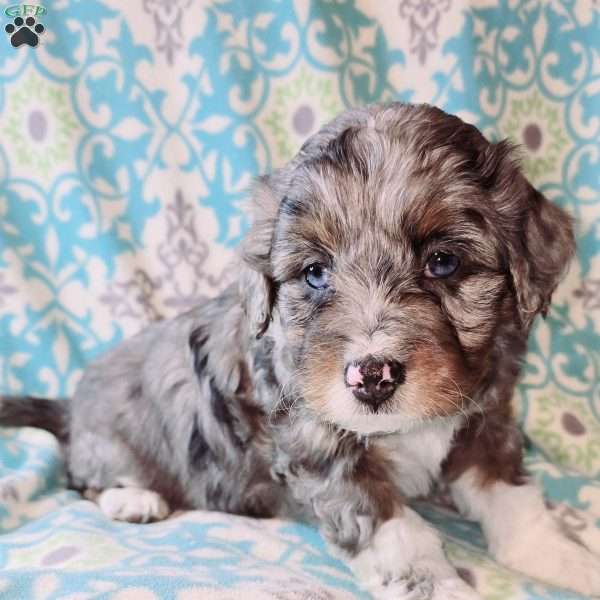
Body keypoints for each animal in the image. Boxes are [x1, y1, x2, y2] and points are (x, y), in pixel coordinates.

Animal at [2, 104, 596, 600]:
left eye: (443, 262)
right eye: (314, 273)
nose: (371, 376)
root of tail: (70, 410)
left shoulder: (486, 423)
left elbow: (514, 500)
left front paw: (563, 558)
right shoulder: (321, 451)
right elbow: (401, 540)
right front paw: (443, 587)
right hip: (110, 445)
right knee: (84, 479)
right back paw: (134, 499)